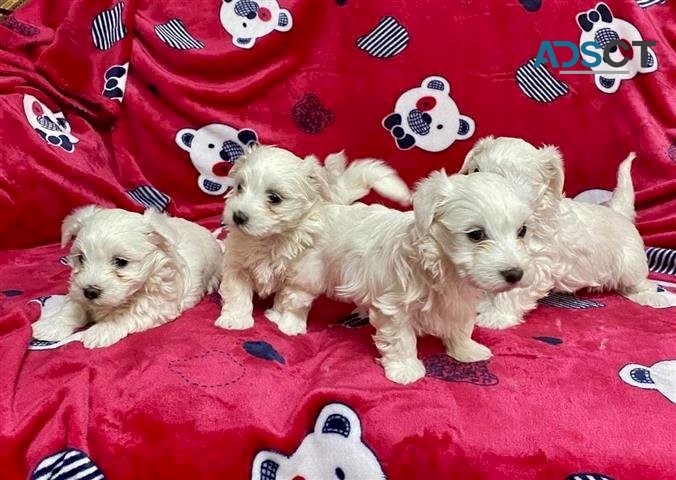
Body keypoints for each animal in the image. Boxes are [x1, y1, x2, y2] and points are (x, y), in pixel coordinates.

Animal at [31, 206, 222, 348]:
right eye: (81, 258)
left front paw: (99, 331)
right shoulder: (78, 289)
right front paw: (51, 325)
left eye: (121, 262)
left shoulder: (156, 304)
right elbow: (74, 308)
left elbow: (125, 315)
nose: (90, 292)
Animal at [215, 146, 412, 332]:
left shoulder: (304, 275)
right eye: (240, 187)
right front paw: (235, 319)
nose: (238, 216)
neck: (270, 238)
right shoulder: (237, 264)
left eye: (274, 198)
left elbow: (292, 299)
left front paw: (286, 322)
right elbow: (237, 291)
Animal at [460, 135, 672, 330]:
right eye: (476, 171)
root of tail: (618, 212)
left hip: (630, 263)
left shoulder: (538, 264)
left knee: (638, 282)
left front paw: (496, 316)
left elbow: (512, 291)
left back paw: (653, 297)